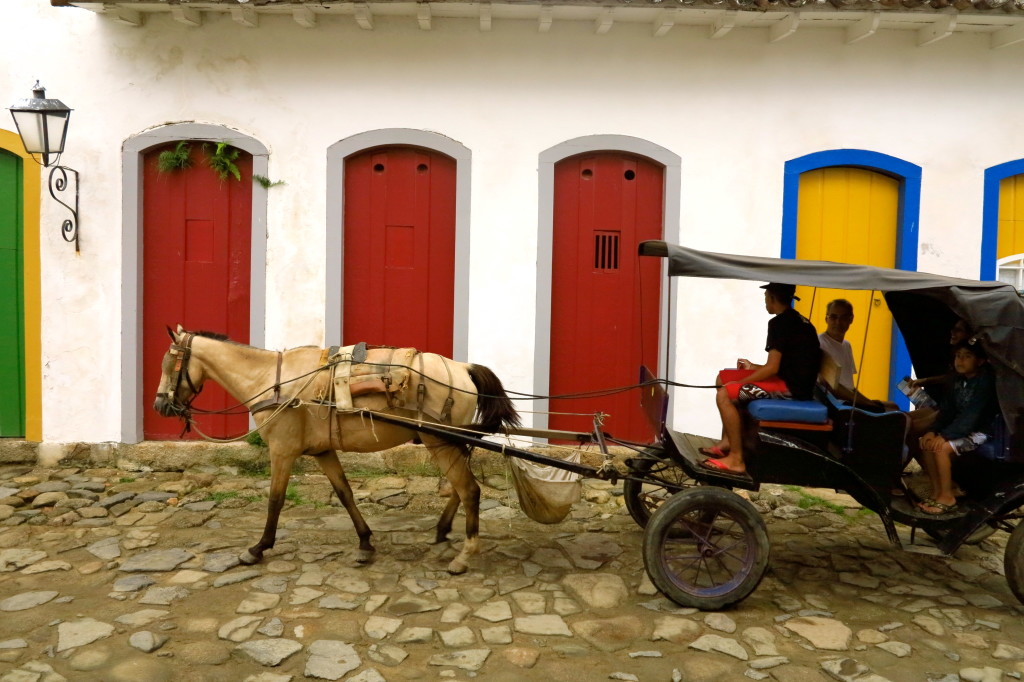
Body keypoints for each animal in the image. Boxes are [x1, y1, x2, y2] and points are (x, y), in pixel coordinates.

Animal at [151, 327, 520, 569]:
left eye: (169, 365)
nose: (160, 406)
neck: (272, 380)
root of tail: (463, 368)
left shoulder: (282, 451)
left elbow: (275, 500)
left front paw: (258, 548)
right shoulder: (323, 451)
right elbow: (344, 494)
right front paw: (365, 542)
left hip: (440, 440)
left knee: (469, 489)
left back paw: (464, 554)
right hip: (449, 440)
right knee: (460, 487)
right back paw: (443, 530)